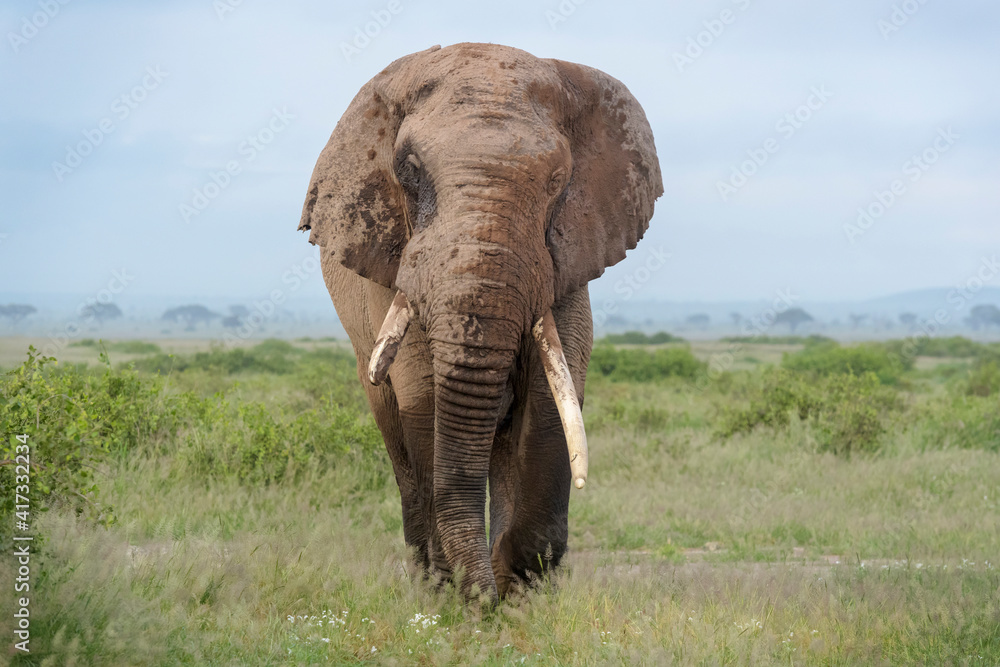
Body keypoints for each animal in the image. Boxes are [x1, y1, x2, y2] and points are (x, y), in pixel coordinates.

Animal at [298, 42, 662, 602]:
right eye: (408, 170)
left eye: (557, 180)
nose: (484, 602)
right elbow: (425, 396)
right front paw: (462, 594)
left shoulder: (566, 259)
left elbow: (551, 400)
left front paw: (517, 590)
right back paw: (429, 580)